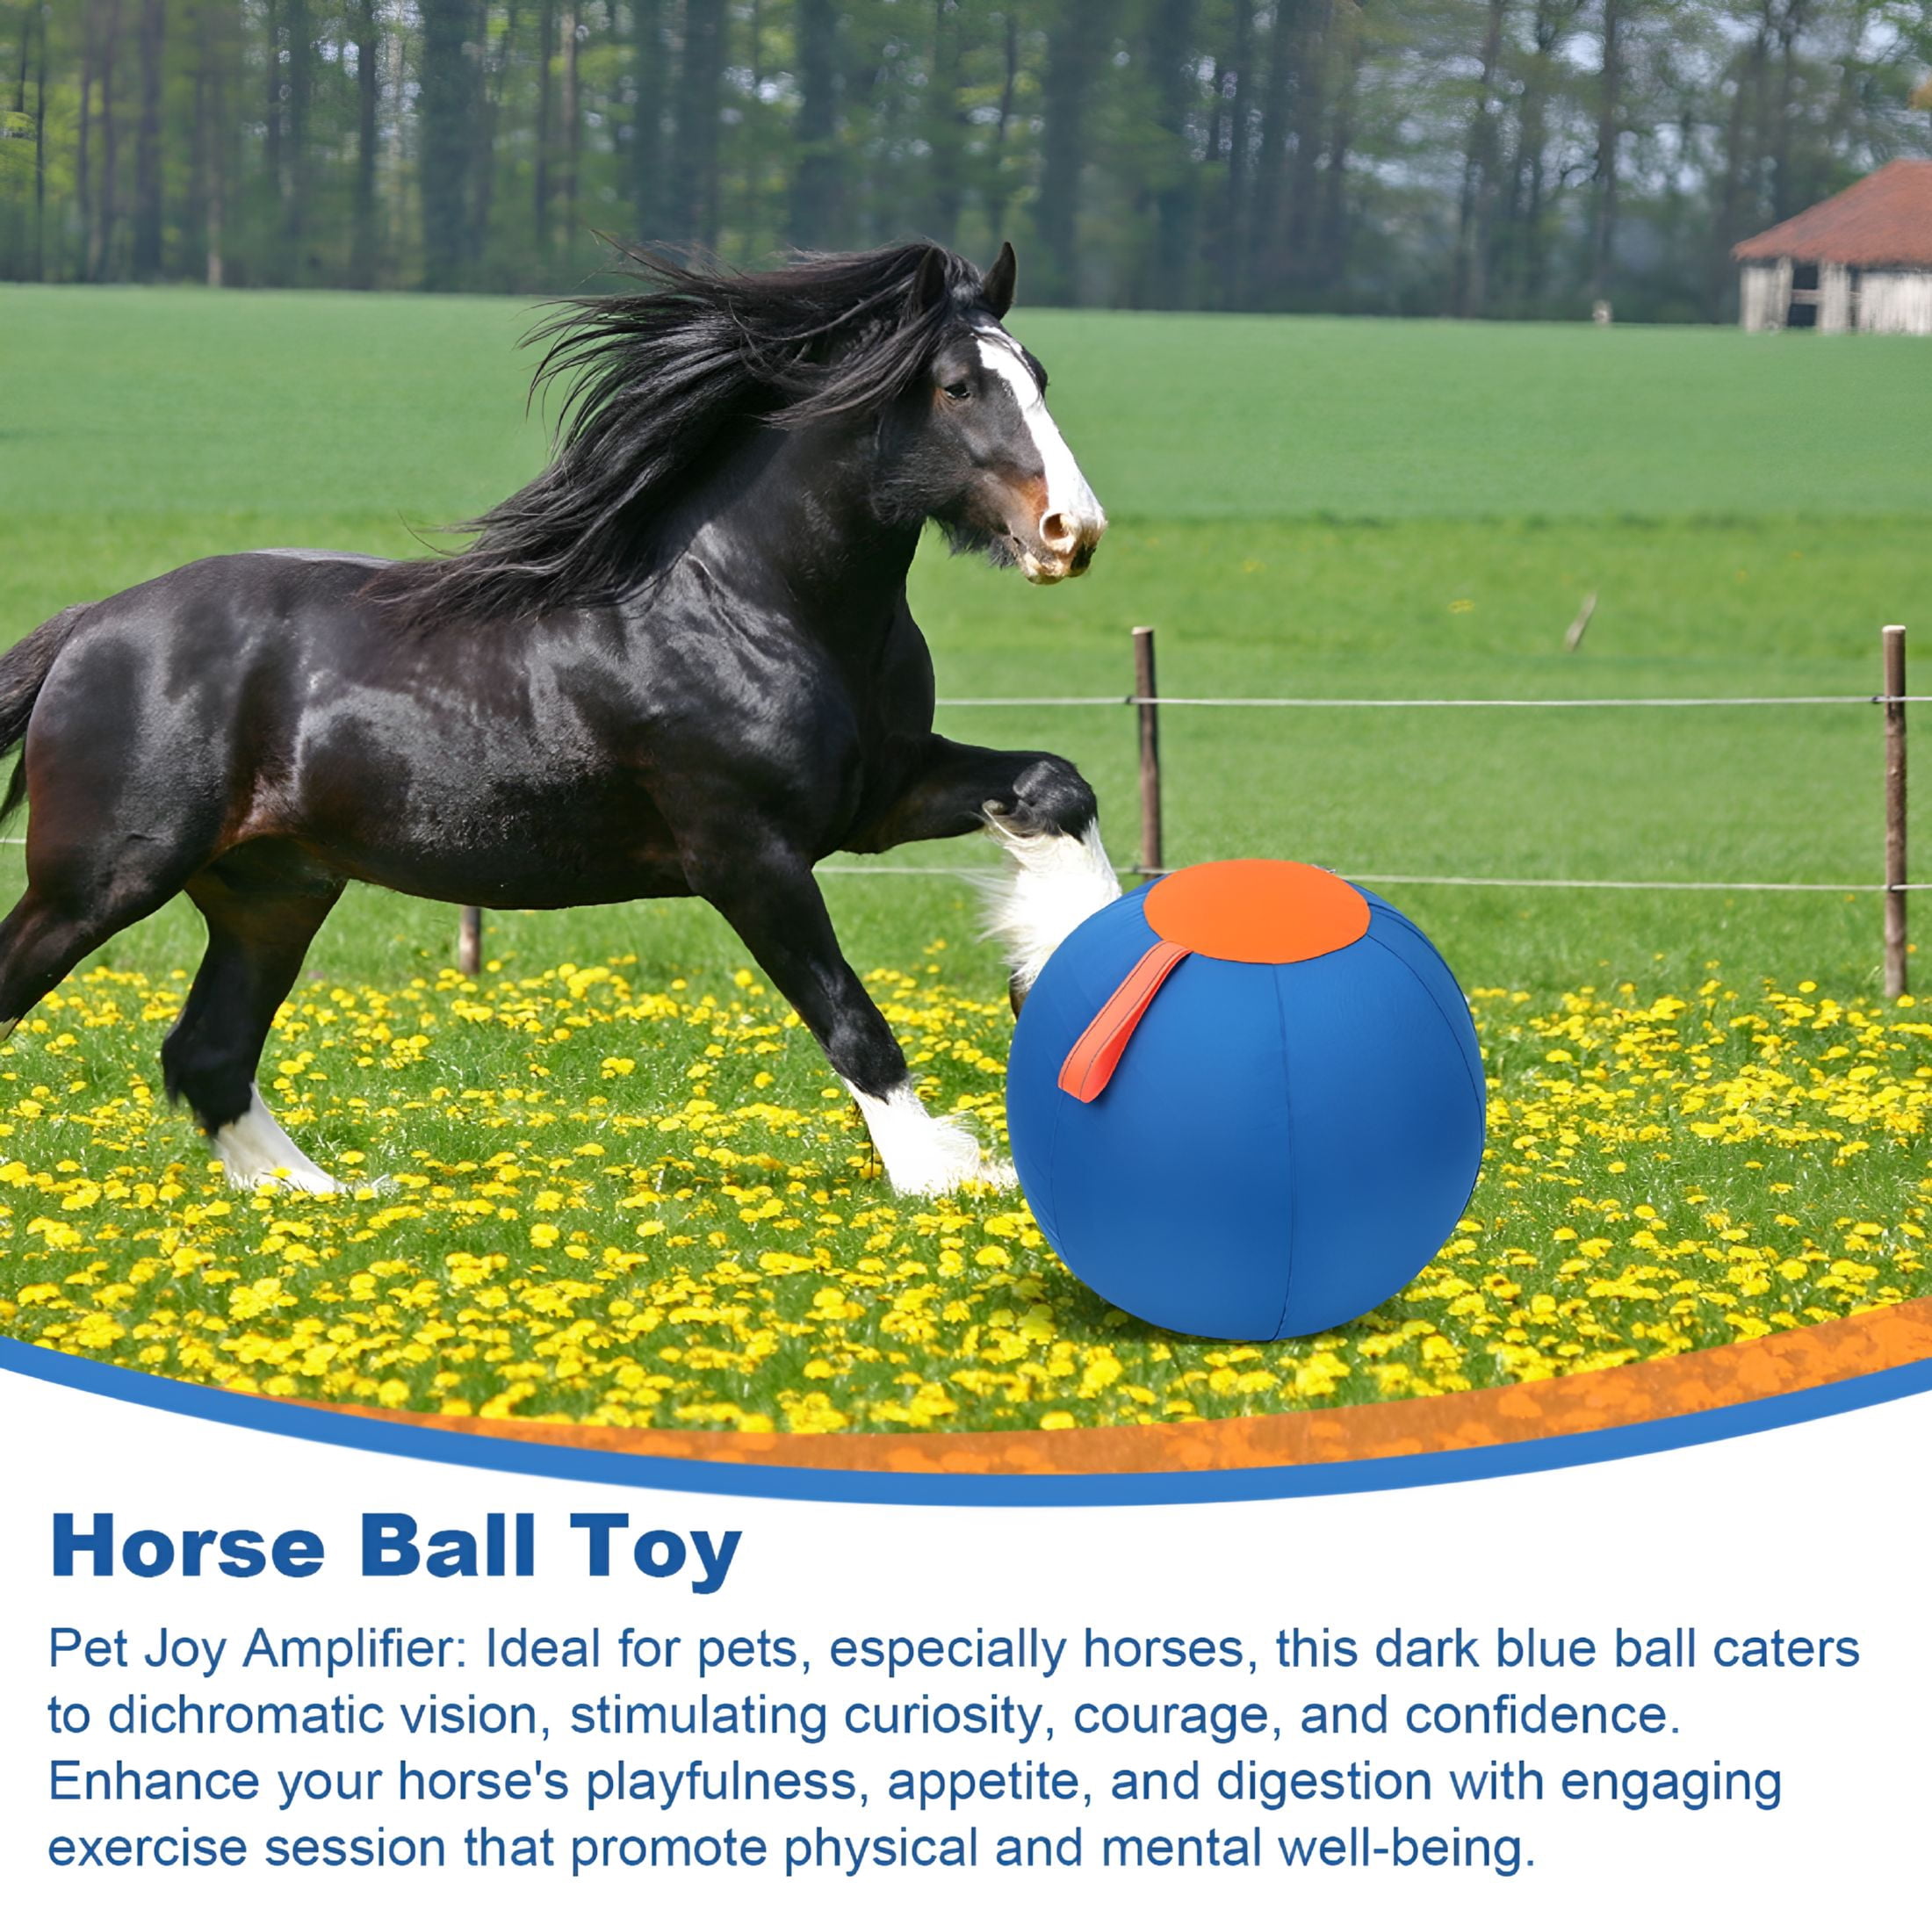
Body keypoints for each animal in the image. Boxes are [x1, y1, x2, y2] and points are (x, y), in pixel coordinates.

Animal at [0, 242, 1119, 1198]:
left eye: (1038, 373)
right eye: (957, 385)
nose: (1072, 530)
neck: (750, 601)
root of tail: (89, 623)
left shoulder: (878, 798)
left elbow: (1055, 787)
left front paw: (1048, 984)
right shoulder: (745, 853)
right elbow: (848, 1015)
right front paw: (942, 1172)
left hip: (271, 889)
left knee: (209, 1053)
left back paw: (329, 1193)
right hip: (103, 878)